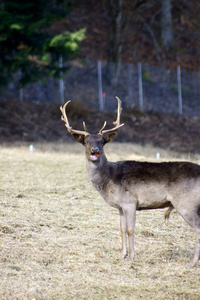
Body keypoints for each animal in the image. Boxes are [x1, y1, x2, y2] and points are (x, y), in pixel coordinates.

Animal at [60, 96, 200, 268]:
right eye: (85, 141)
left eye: (102, 141)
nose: (95, 151)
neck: (109, 179)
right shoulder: (120, 206)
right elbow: (121, 229)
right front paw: (122, 254)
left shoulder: (130, 202)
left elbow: (129, 230)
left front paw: (132, 257)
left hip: (186, 203)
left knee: (198, 229)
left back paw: (192, 263)